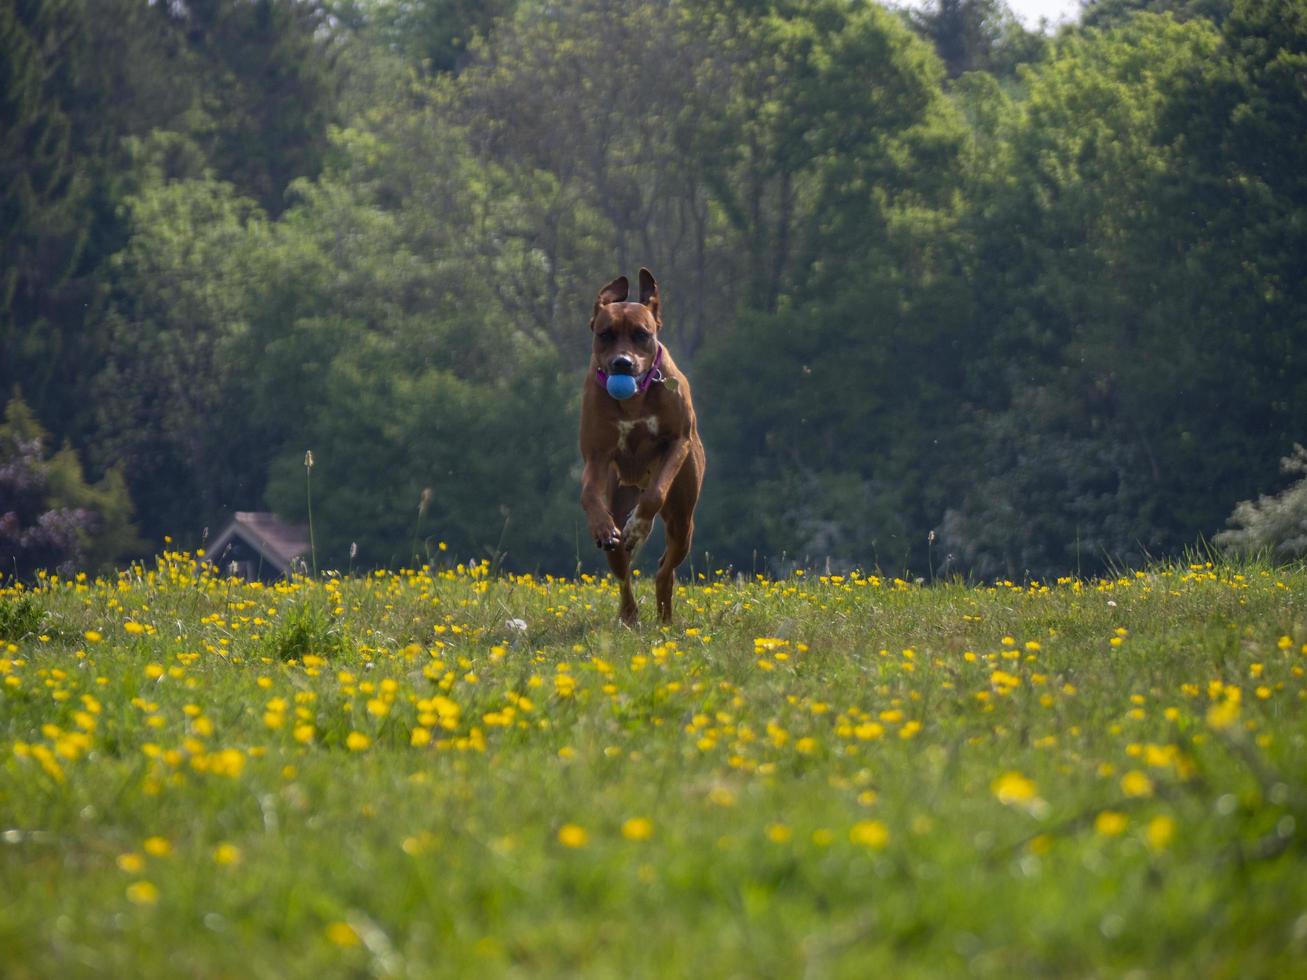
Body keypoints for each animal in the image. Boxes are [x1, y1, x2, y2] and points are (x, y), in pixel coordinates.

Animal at [582, 269, 705, 624]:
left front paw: (638, 526)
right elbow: (589, 494)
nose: (622, 364)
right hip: (619, 499)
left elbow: (655, 494)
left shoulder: (678, 442)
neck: (635, 398)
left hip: (683, 519)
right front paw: (603, 526)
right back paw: (630, 616)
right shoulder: (596, 455)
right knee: (623, 573)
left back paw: (665, 617)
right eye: (605, 334)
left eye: (642, 334)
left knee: (666, 570)